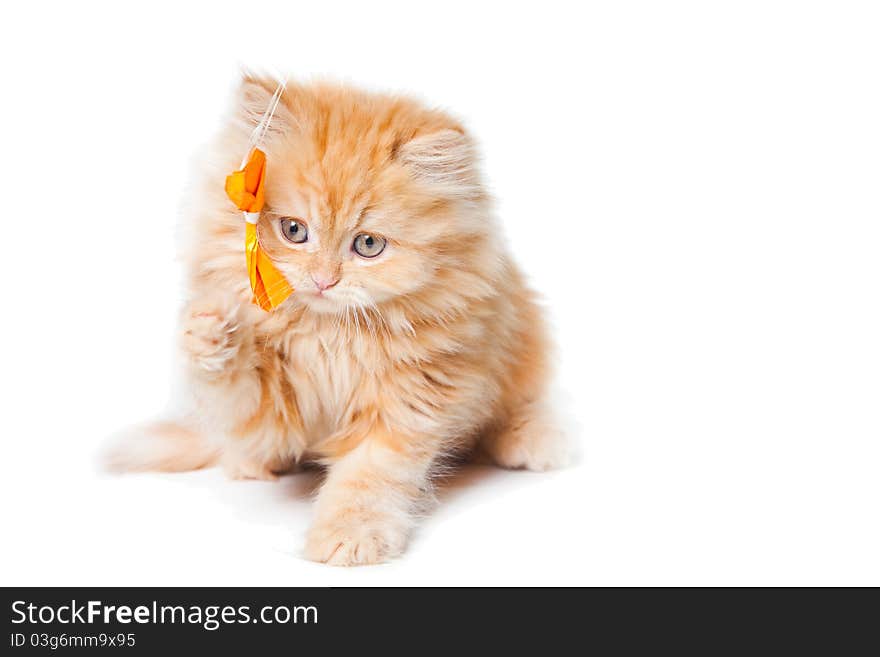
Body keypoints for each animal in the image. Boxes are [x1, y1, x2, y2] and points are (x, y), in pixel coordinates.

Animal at [106, 73, 568, 564]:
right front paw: (213, 332)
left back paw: (536, 440)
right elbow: (238, 390)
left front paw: (351, 536)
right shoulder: (277, 409)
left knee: (516, 409)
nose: (324, 280)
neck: (331, 336)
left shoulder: (410, 400)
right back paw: (249, 463)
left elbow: (369, 477)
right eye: (293, 230)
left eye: (368, 245)